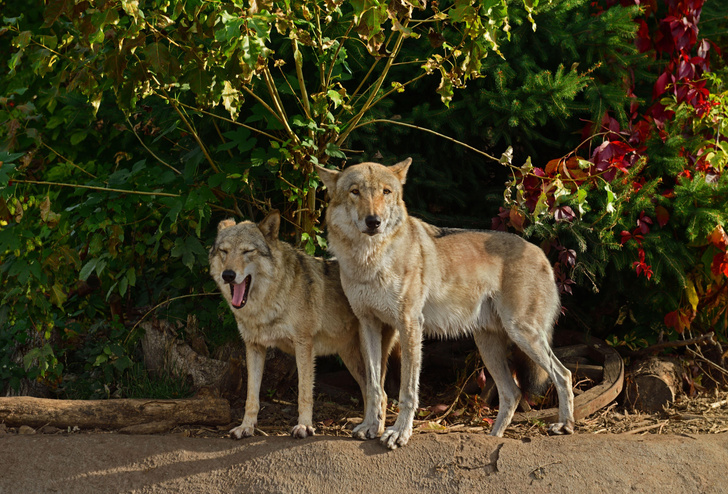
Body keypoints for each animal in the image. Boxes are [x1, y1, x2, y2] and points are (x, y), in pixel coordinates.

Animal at [209, 210, 398, 438]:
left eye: (247, 251)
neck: (269, 300)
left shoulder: (304, 345)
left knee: (382, 394)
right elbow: (251, 397)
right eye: (224, 251)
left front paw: (304, 426)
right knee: (370, 391)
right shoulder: (254, 347)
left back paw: (374, 430)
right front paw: (246, 427)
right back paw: (364, 425)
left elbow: (304, 392)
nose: (228, 275)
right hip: (352, 358)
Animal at [318, 160, 576, 450]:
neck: (370, 259)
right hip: (488, 345)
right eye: (355, 192)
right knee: (513, 393)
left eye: (386, 192)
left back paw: (565, 426)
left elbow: (407, 391)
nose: (374, 221)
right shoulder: (369, 326)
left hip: (523, 334)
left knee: (563, 375)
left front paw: (399, 433)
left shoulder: (409, 325)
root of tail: (540, 252)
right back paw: (492, 438)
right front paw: (370, 427)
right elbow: (375, 387)